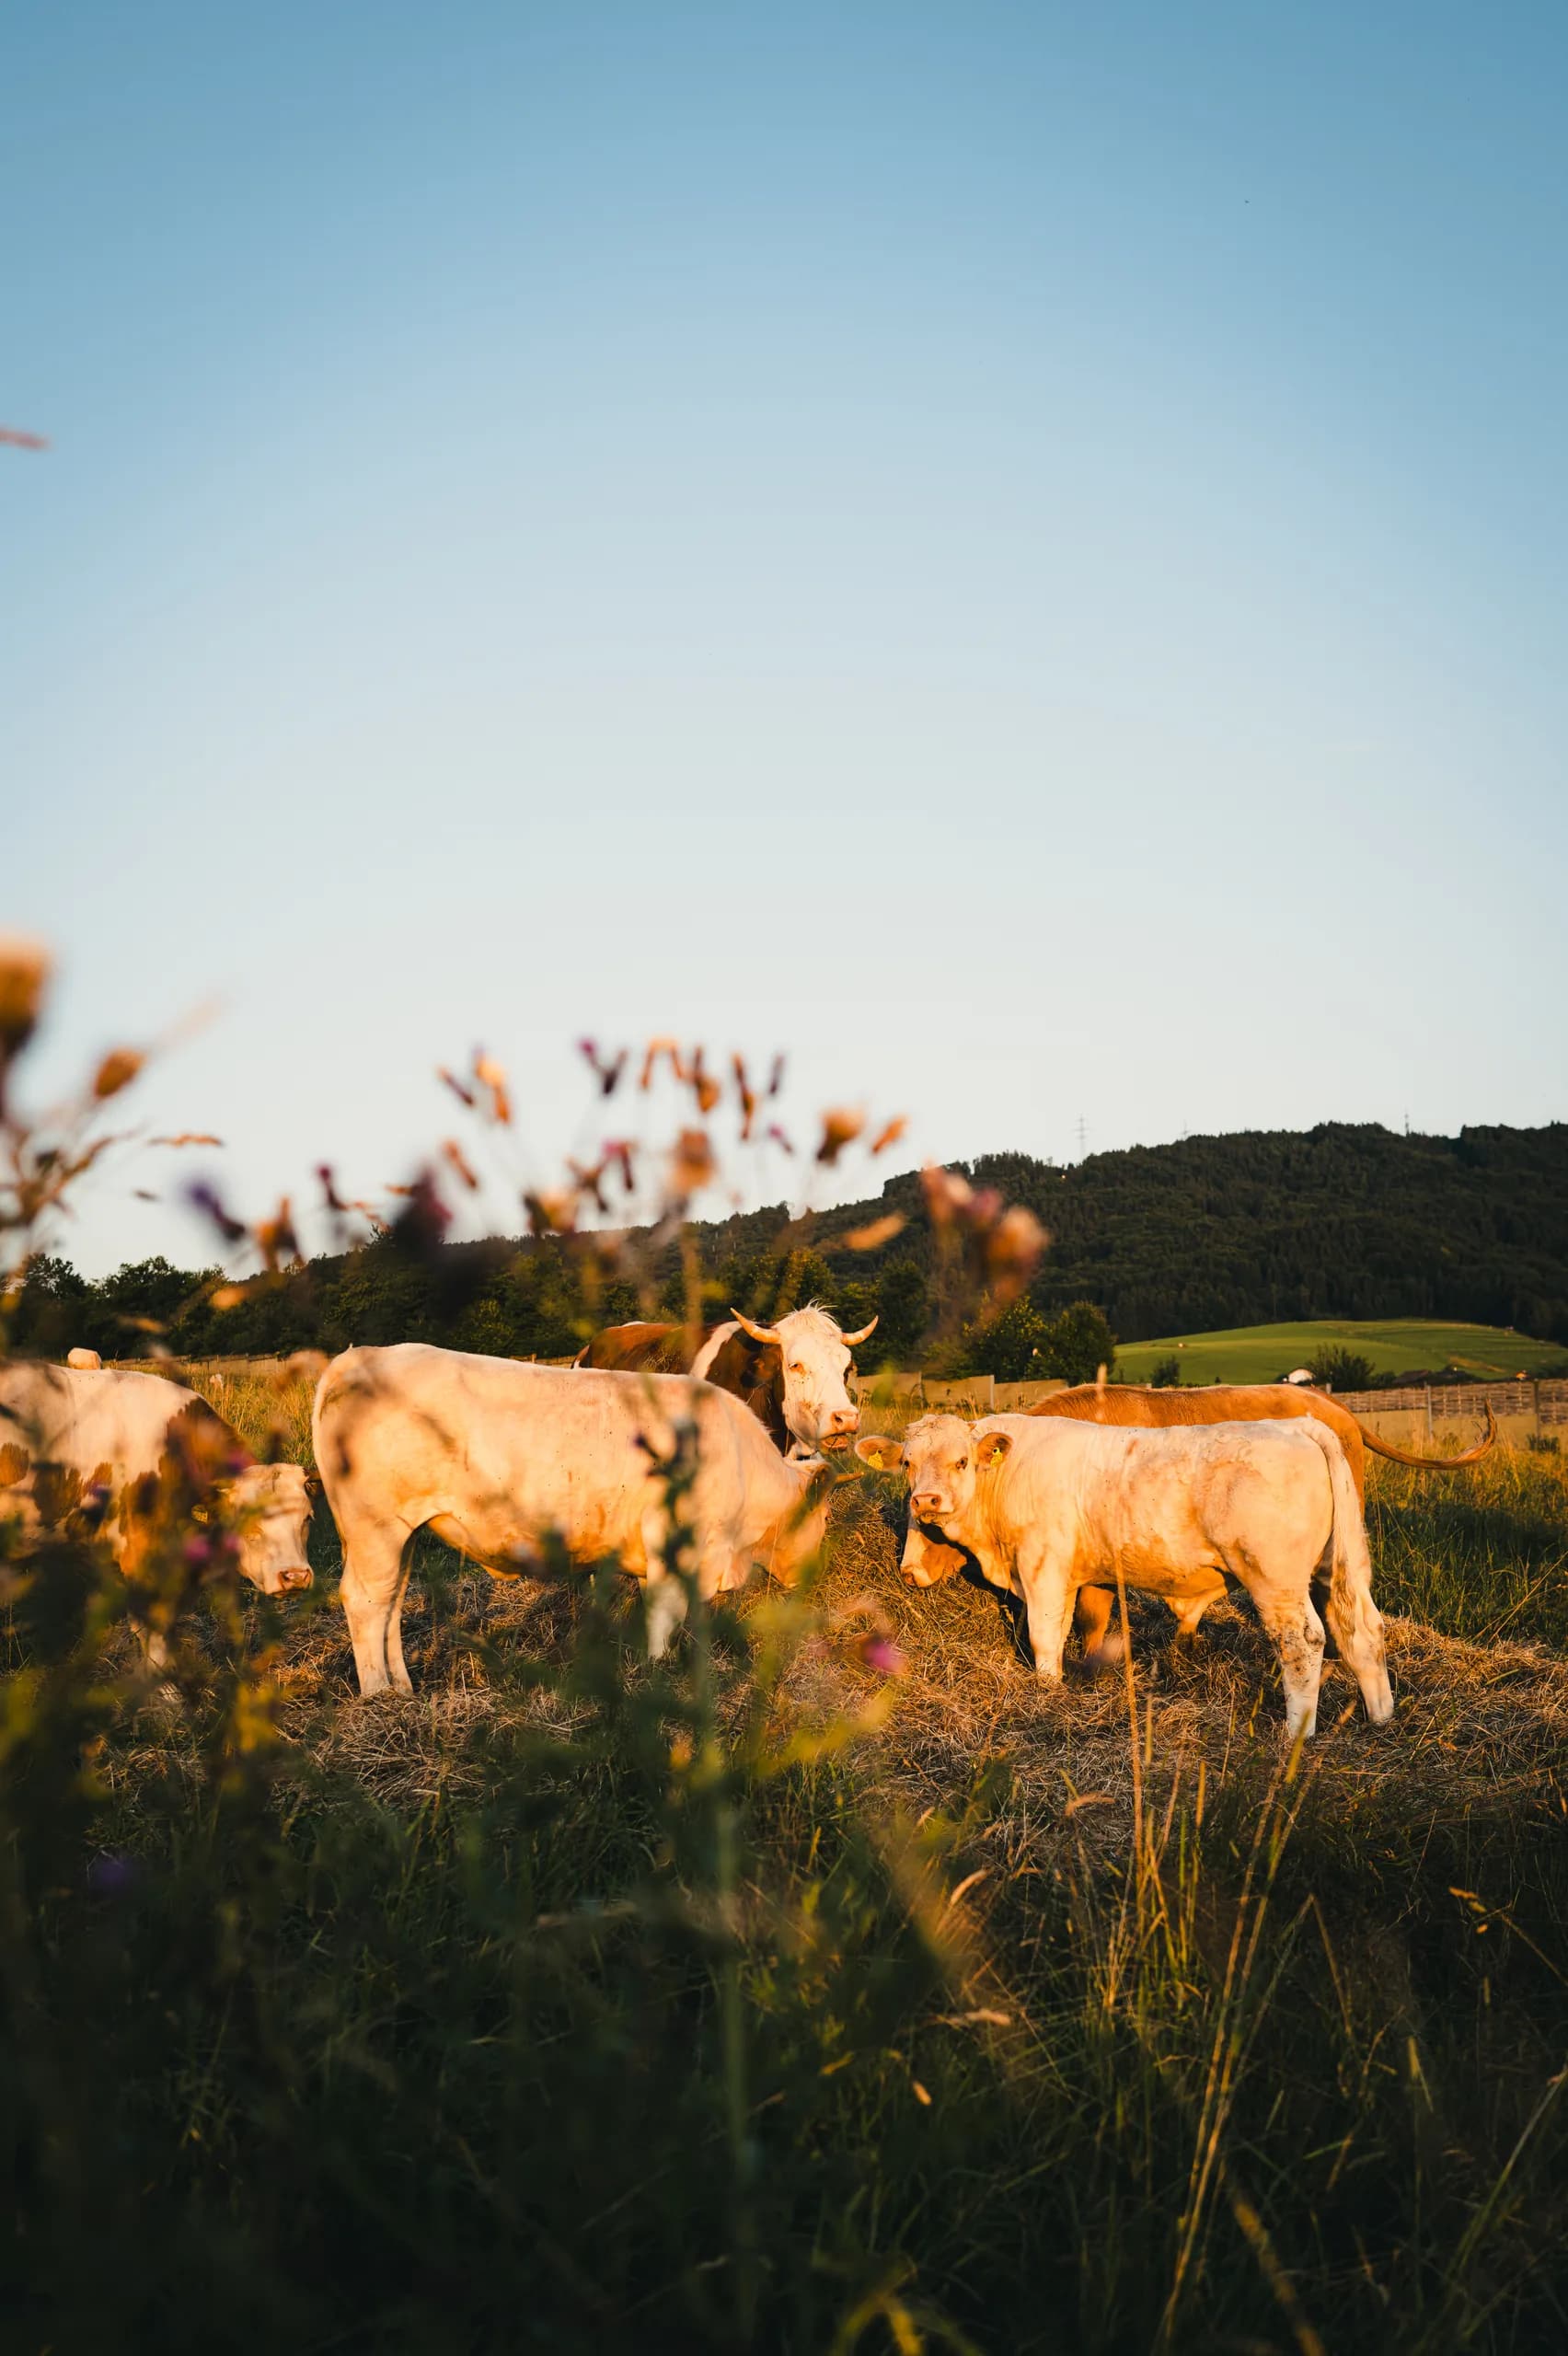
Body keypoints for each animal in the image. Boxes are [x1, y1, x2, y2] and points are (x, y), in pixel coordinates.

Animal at [312, 1343, 839, 1695]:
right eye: (826, 1516)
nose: (814, 1577)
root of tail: (358, 1356)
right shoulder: (675, 1547)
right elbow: (664, 1618)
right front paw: (657, 1675)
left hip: (401, 1534)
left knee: (393, 1600)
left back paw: (402, 1689)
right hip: (376, 1527)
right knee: (366, 1602)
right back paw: (379, 1698)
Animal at [857, 1412, 1393, 1737]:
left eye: (961, 1460)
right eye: (907, 1463)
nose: (926, 1501)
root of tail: (1297, 1425)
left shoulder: (1043, 1567)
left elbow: (1045, 1635)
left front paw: (1047, 1695)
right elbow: (1076, 1627)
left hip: (1275, 1579)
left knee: (1303, 1641)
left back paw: (1295, 1734)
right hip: (1335, 1572)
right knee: (1363, 1631)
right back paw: (1381, 1718)